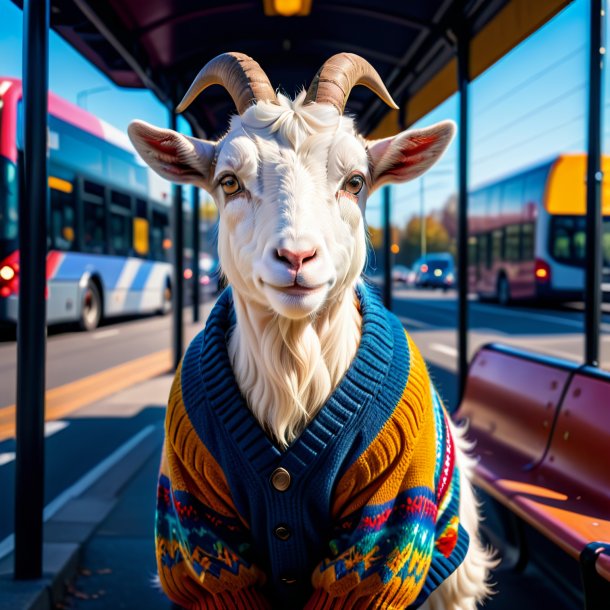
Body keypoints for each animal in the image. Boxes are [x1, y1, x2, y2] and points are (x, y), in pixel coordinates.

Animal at [129, 52, 494, 608]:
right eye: (229, 181)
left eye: (356, 181)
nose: (297, 257)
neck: (293, 374)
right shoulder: (197, 524)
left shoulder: (384, 526)